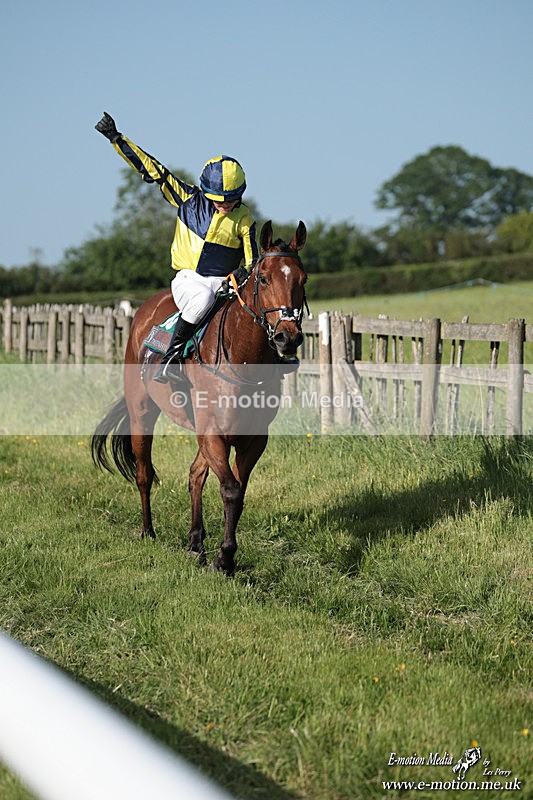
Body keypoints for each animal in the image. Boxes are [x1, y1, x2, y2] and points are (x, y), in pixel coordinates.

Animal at [92, 221, 307, 575]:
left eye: (303, 279)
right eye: (264, 278)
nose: (287, 337)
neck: (241, 360)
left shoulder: (252, 437)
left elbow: (236, 489)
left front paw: (220, 553)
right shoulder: (213, 432)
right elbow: (231, 490)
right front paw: (225, 558)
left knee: (195, 474)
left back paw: (195, 541)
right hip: (142, 412)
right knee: (143, 473)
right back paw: (148, 531)